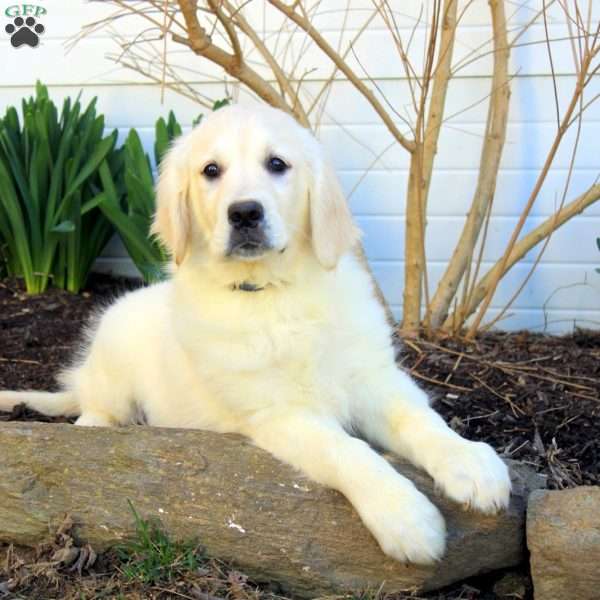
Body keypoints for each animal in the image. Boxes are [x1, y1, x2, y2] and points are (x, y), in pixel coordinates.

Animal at [0, 102, 510, 564]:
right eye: (211, 170)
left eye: (277, 164)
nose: (244, 213)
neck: (273, 292)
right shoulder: (278, 414)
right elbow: (348, 451)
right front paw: (404, 514)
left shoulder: (375, 379)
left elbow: (419, 420)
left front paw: (469, 462)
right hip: (114, 355)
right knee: (95, 411)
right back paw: (97, 424)